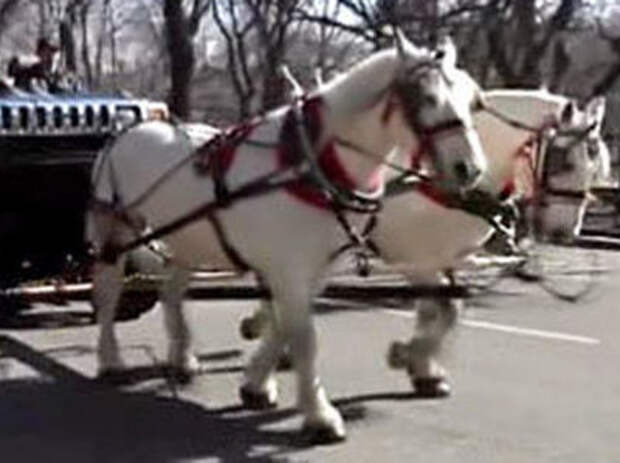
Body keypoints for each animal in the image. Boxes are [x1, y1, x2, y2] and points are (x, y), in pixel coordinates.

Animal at [87, 33, 486, 442]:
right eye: (428, 98)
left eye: (473, 100)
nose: (469, 169)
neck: (311, 165)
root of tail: (126, 132)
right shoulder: (293, 267)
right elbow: (305, 337)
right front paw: (320, 415)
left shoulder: (316, 267)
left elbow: (285, 327)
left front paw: (257, 384)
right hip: (114, 229)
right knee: (108, 292)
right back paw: (111, 360)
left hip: (190, 238)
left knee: (171, 294)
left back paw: (182, 359)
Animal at [242, 86, 612, 398]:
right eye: (565, 161)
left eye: (595, 167)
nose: (565, 233)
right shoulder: (413, 258)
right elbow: (444, 310)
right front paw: (408, 356)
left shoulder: (444, 257)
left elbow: (447, 310)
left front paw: (423, 367)